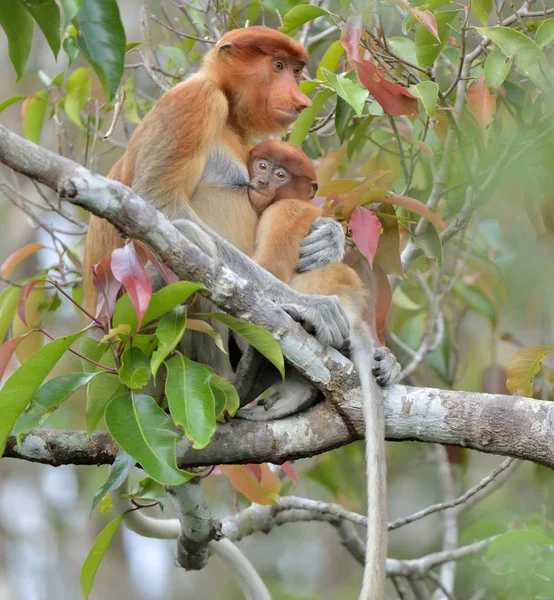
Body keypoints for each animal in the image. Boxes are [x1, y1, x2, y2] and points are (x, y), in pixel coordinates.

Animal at [236, 137, 396, 600]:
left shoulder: (283, 212)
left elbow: (269, 268)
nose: (262, 181)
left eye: (281, 174)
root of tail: (356, 317)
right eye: (263, 165)